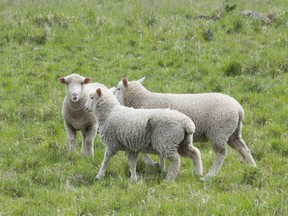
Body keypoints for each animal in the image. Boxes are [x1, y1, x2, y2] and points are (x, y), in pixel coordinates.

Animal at [113, 77, 258, 177]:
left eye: (118, 88)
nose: (112, 97)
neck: (143, 100)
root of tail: (239, 109)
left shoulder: (147, 132)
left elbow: (143, 151)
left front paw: (155, 165)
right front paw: (161, 167)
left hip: (218, 132)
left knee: (221, 154)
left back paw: (211, 174)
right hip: (233, 133)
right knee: (243, 149)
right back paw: (253, 167)